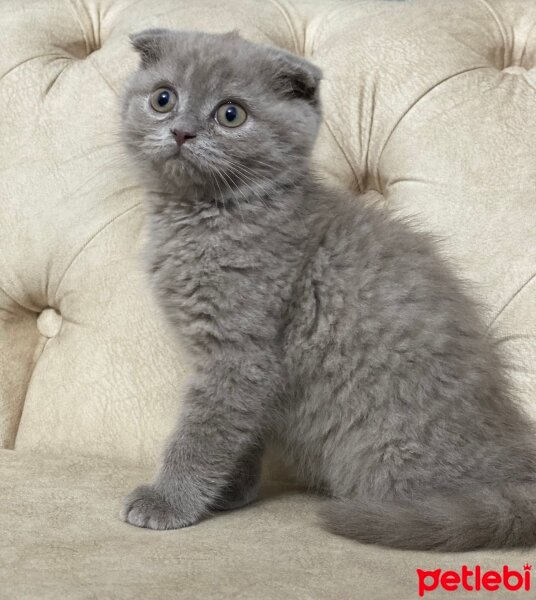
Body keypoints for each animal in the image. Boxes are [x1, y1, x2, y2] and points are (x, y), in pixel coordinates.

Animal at [119, 29, 536, 552]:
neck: (206, 215)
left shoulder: (241, 352)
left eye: (231, 114)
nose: (181, 132)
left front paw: (167, 501)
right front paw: (230, 492)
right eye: (163, 99)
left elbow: (204, 432)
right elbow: (241, 430)